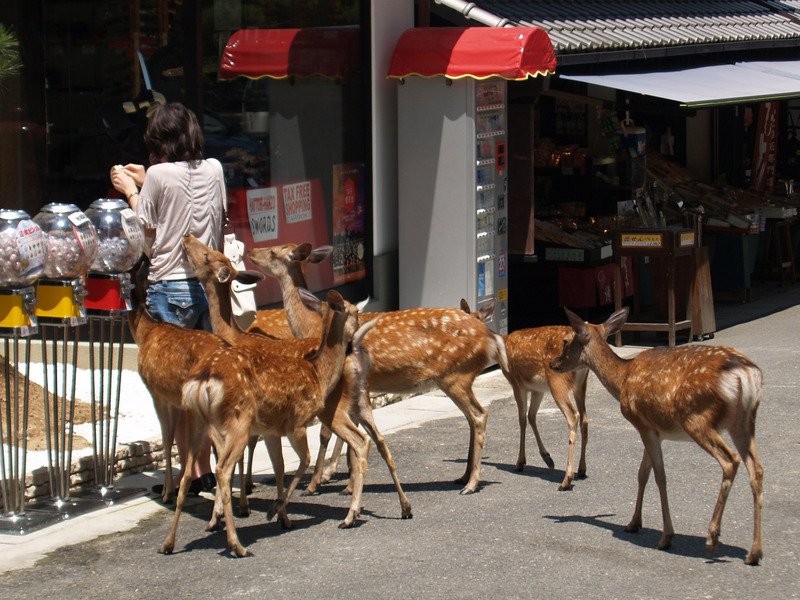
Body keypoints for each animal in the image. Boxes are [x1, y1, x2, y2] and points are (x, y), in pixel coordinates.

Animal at [159, 289, 377, 557]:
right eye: (355, 312)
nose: (355, 342)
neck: (318, 373)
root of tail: (204, 379)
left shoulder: (271, 430)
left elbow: (280, 468)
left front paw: (284, 517)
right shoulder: (297, 421)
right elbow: (303, 461)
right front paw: (276, 510)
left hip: (196, 420)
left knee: (188, 473)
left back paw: (168, 543)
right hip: (238, 421)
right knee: (222, 469)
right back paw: (237, 545)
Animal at [182, 235, 412, 521]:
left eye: (207, 255)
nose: (187, 237)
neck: (232, 334)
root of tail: (355, 350)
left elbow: (248, 449)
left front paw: (243, 502)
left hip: (334, 406)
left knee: (353, 439)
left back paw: (342, 500)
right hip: (362, 400)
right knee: (378, 440)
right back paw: (400, 505)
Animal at [248, 245, 509, 495]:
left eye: (273, 251)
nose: (250, 253)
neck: (312, 328)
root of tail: (492, 337)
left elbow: (328, 432)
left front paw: (320, 480)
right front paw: (344, 479)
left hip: (456, 375)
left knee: (478, 415)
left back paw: (471, 483)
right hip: (457, 377)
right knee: (472, 417)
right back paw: (464, 476)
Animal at [460, 299, 590, 491]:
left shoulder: (516, 383)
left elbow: (521, 419)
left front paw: (520, 462)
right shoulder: (537, 388)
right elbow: (531, 416)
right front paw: (547, 458)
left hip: (558, 381)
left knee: (573, 416)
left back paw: (567, 479)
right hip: (580, 384)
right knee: (585, 418)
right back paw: (581, 469)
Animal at [551, 307, 764, 565]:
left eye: (566, 341)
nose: (553, 363)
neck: (622, 380)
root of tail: (746, 373)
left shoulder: (642, 424)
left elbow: (659, 477)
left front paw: (666, 536)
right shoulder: (652, 430)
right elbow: (642, 474)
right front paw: (633, 523)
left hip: (698, 419)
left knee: (730, 460)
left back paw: (712, 537)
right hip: (743, 422)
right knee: (757, 469)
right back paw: (754, 552)